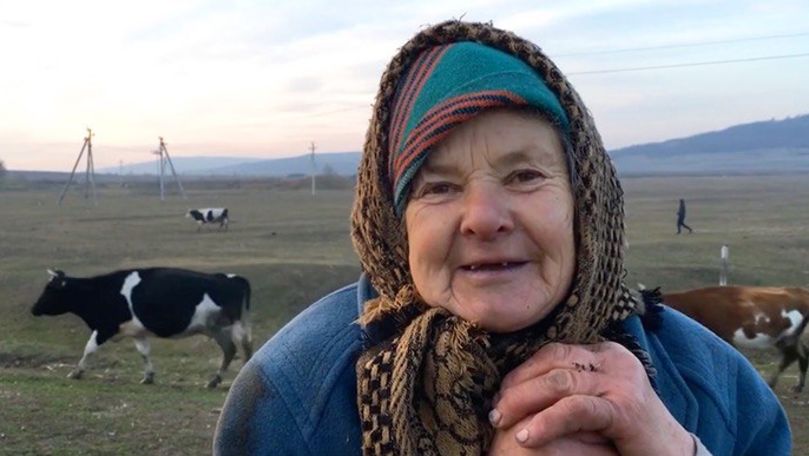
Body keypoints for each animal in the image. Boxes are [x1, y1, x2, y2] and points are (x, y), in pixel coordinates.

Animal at [31, 267, 252, 388]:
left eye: (49, 289)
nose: (33, 309)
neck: (100, 292)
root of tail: (232, 278)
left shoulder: (104, 328)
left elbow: (89, 348)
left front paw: (76, 372)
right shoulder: (137, 332)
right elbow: (144, 352)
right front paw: (148, 376)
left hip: (232, 325)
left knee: (243, 348)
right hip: (217, 328)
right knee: (231, 349)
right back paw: (215, 380)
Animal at [640, 285, 809, 393]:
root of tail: (801, 291)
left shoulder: (721, 337)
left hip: (788, 336)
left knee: (791, 356)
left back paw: (775, 383)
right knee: (802, 355)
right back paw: (797, 385)